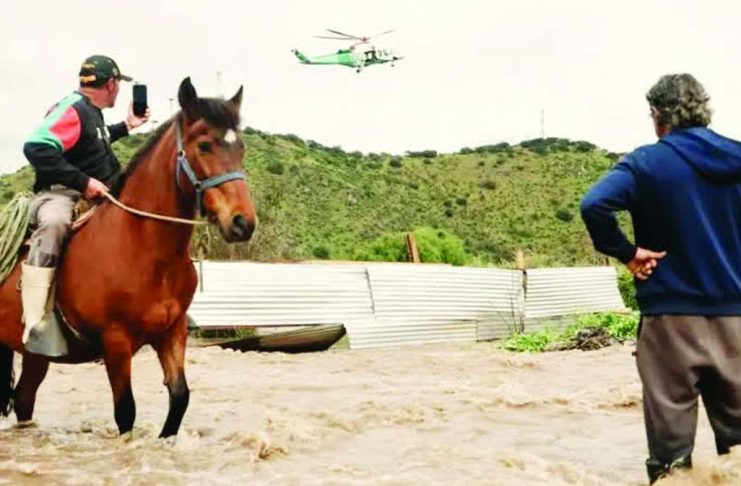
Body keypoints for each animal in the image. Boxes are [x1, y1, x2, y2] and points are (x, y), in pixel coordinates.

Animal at [0, 77, 256, 438]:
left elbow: (180, 397)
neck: (146, 249)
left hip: (34, 355)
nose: (243, 222)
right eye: (204, 145)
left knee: (24, 398)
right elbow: (126, 411)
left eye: (240, 148)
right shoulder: (116, 341)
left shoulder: (172, 332)